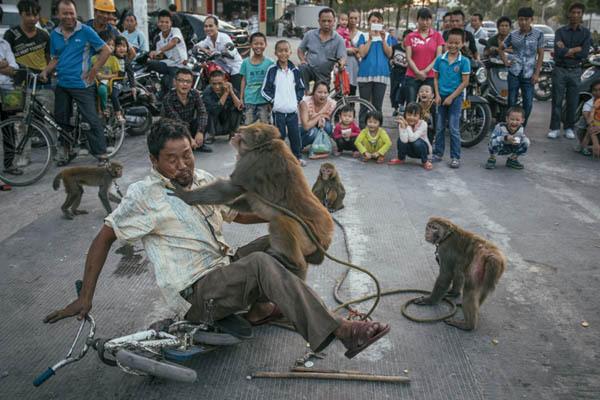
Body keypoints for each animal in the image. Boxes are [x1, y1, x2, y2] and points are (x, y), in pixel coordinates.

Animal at [171, 122, 336, 282]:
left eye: (240, 133)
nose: (234, 135)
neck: (262, 146)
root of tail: (326, 240)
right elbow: (249, 200)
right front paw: (228, 205)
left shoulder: (249, 162)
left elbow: (231, 188)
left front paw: (186, 196)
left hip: (308, 241)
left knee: (280, 222)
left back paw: (296, 264)